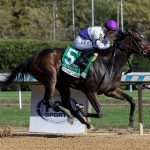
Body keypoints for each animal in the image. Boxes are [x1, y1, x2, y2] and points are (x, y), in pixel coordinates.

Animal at [2, 29, 150, 128]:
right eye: (139, 39)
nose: (149, 49)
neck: (108, 63)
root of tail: (33, 58)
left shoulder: (110, 90)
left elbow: (132, 100)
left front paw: (131, 123)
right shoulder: (90, 90)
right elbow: (100, 112)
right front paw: (82, 110)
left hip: (62, 84)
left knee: (66, 103)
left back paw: (77, 118)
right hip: (51, 79)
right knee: (49, 101)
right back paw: (71, 115)